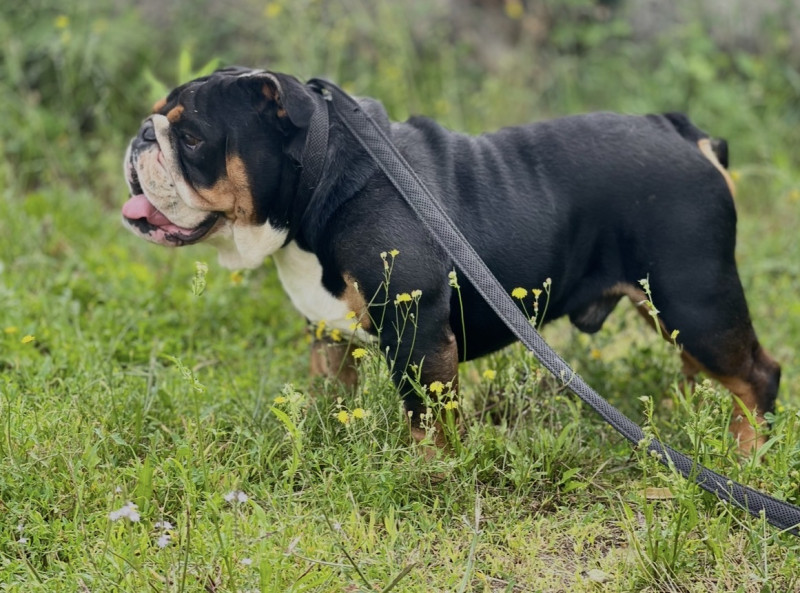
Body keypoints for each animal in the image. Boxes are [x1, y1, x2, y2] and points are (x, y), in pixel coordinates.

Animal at [123, 66, 780, 452]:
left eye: (192, 138)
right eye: (155, 119)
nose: (141, 135)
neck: (321, 181)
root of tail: (678, 132)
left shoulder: (416, 332)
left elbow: (426, 416)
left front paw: (429, 471)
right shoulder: (327, 333)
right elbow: (330, 391)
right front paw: (325, 433)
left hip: (694, 297)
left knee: (756, 374)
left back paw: (748, 451)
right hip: (670, 305)